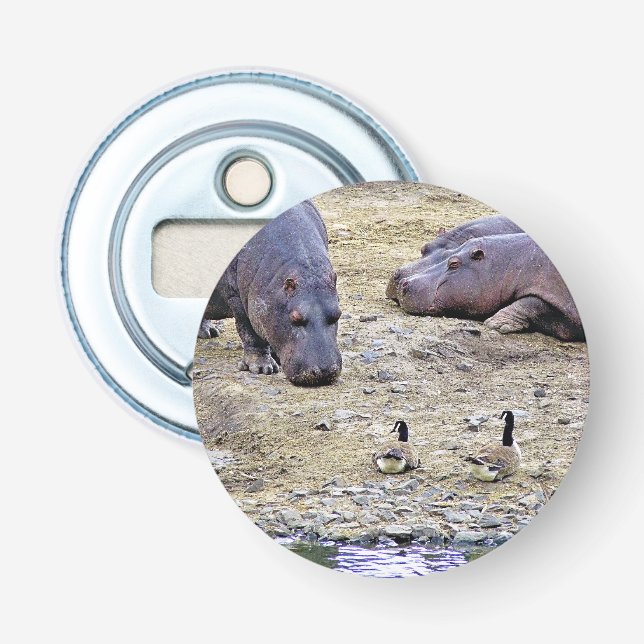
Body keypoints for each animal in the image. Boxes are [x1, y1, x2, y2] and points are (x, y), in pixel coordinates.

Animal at [198, 200, 342, 386]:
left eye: (338, 314)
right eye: (295, 317)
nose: (324, 372)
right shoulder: (238, 300)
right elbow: (250, 332)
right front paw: (262, 368)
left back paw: (209, 333)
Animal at [394, 233, 584, 341]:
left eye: (454, 263)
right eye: (449, 253)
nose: (404, 282)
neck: (509, 262)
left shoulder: (562, 297)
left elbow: (532, 304)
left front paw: (495, 323)